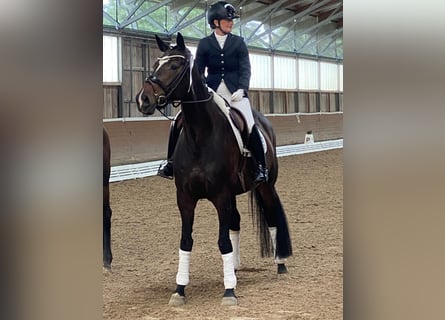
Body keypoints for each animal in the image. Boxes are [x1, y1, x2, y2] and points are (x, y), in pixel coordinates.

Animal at [135, 33, 294, 308]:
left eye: (174, 66)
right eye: (155, 63)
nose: (143, 99)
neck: (200, 133)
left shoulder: (220, 195)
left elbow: (222, 241)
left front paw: (229, 291)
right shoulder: (185, 197)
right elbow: (186, 241)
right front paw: (180, 289)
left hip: (265, 186)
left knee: (272, 217)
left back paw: (280, 264)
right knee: (236, 223)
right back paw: (236, 268)